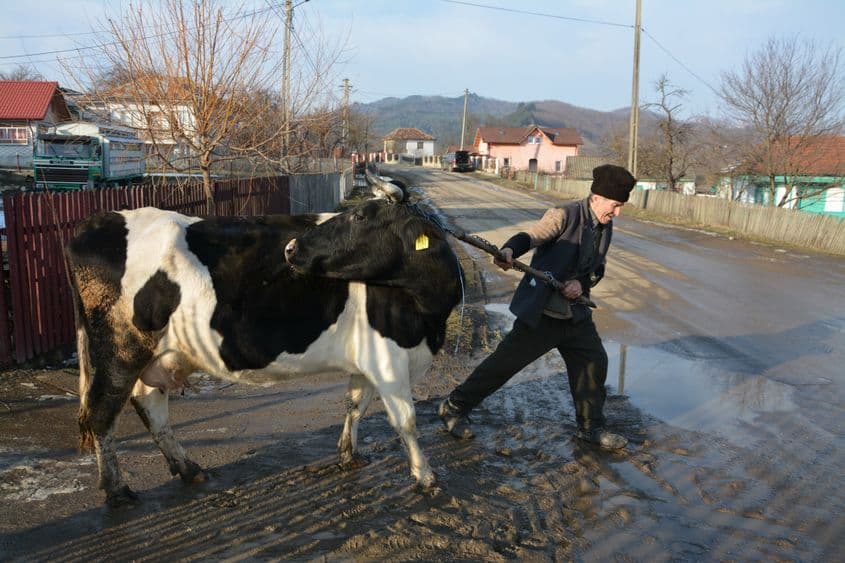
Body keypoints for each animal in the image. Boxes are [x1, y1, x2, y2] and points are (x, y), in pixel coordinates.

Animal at [67, 184, 463, 506]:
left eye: (361, 216)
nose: (291, 247)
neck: (429, 315)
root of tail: (97, 221)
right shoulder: (387, 356)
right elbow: (405, 420)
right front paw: (425, 475)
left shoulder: (367, 359)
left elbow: (355, 406)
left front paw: (349, 454)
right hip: (121, 350)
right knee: (101, 413)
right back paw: (117, 489)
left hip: (159, 354)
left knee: (150, 404)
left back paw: (188, 467)